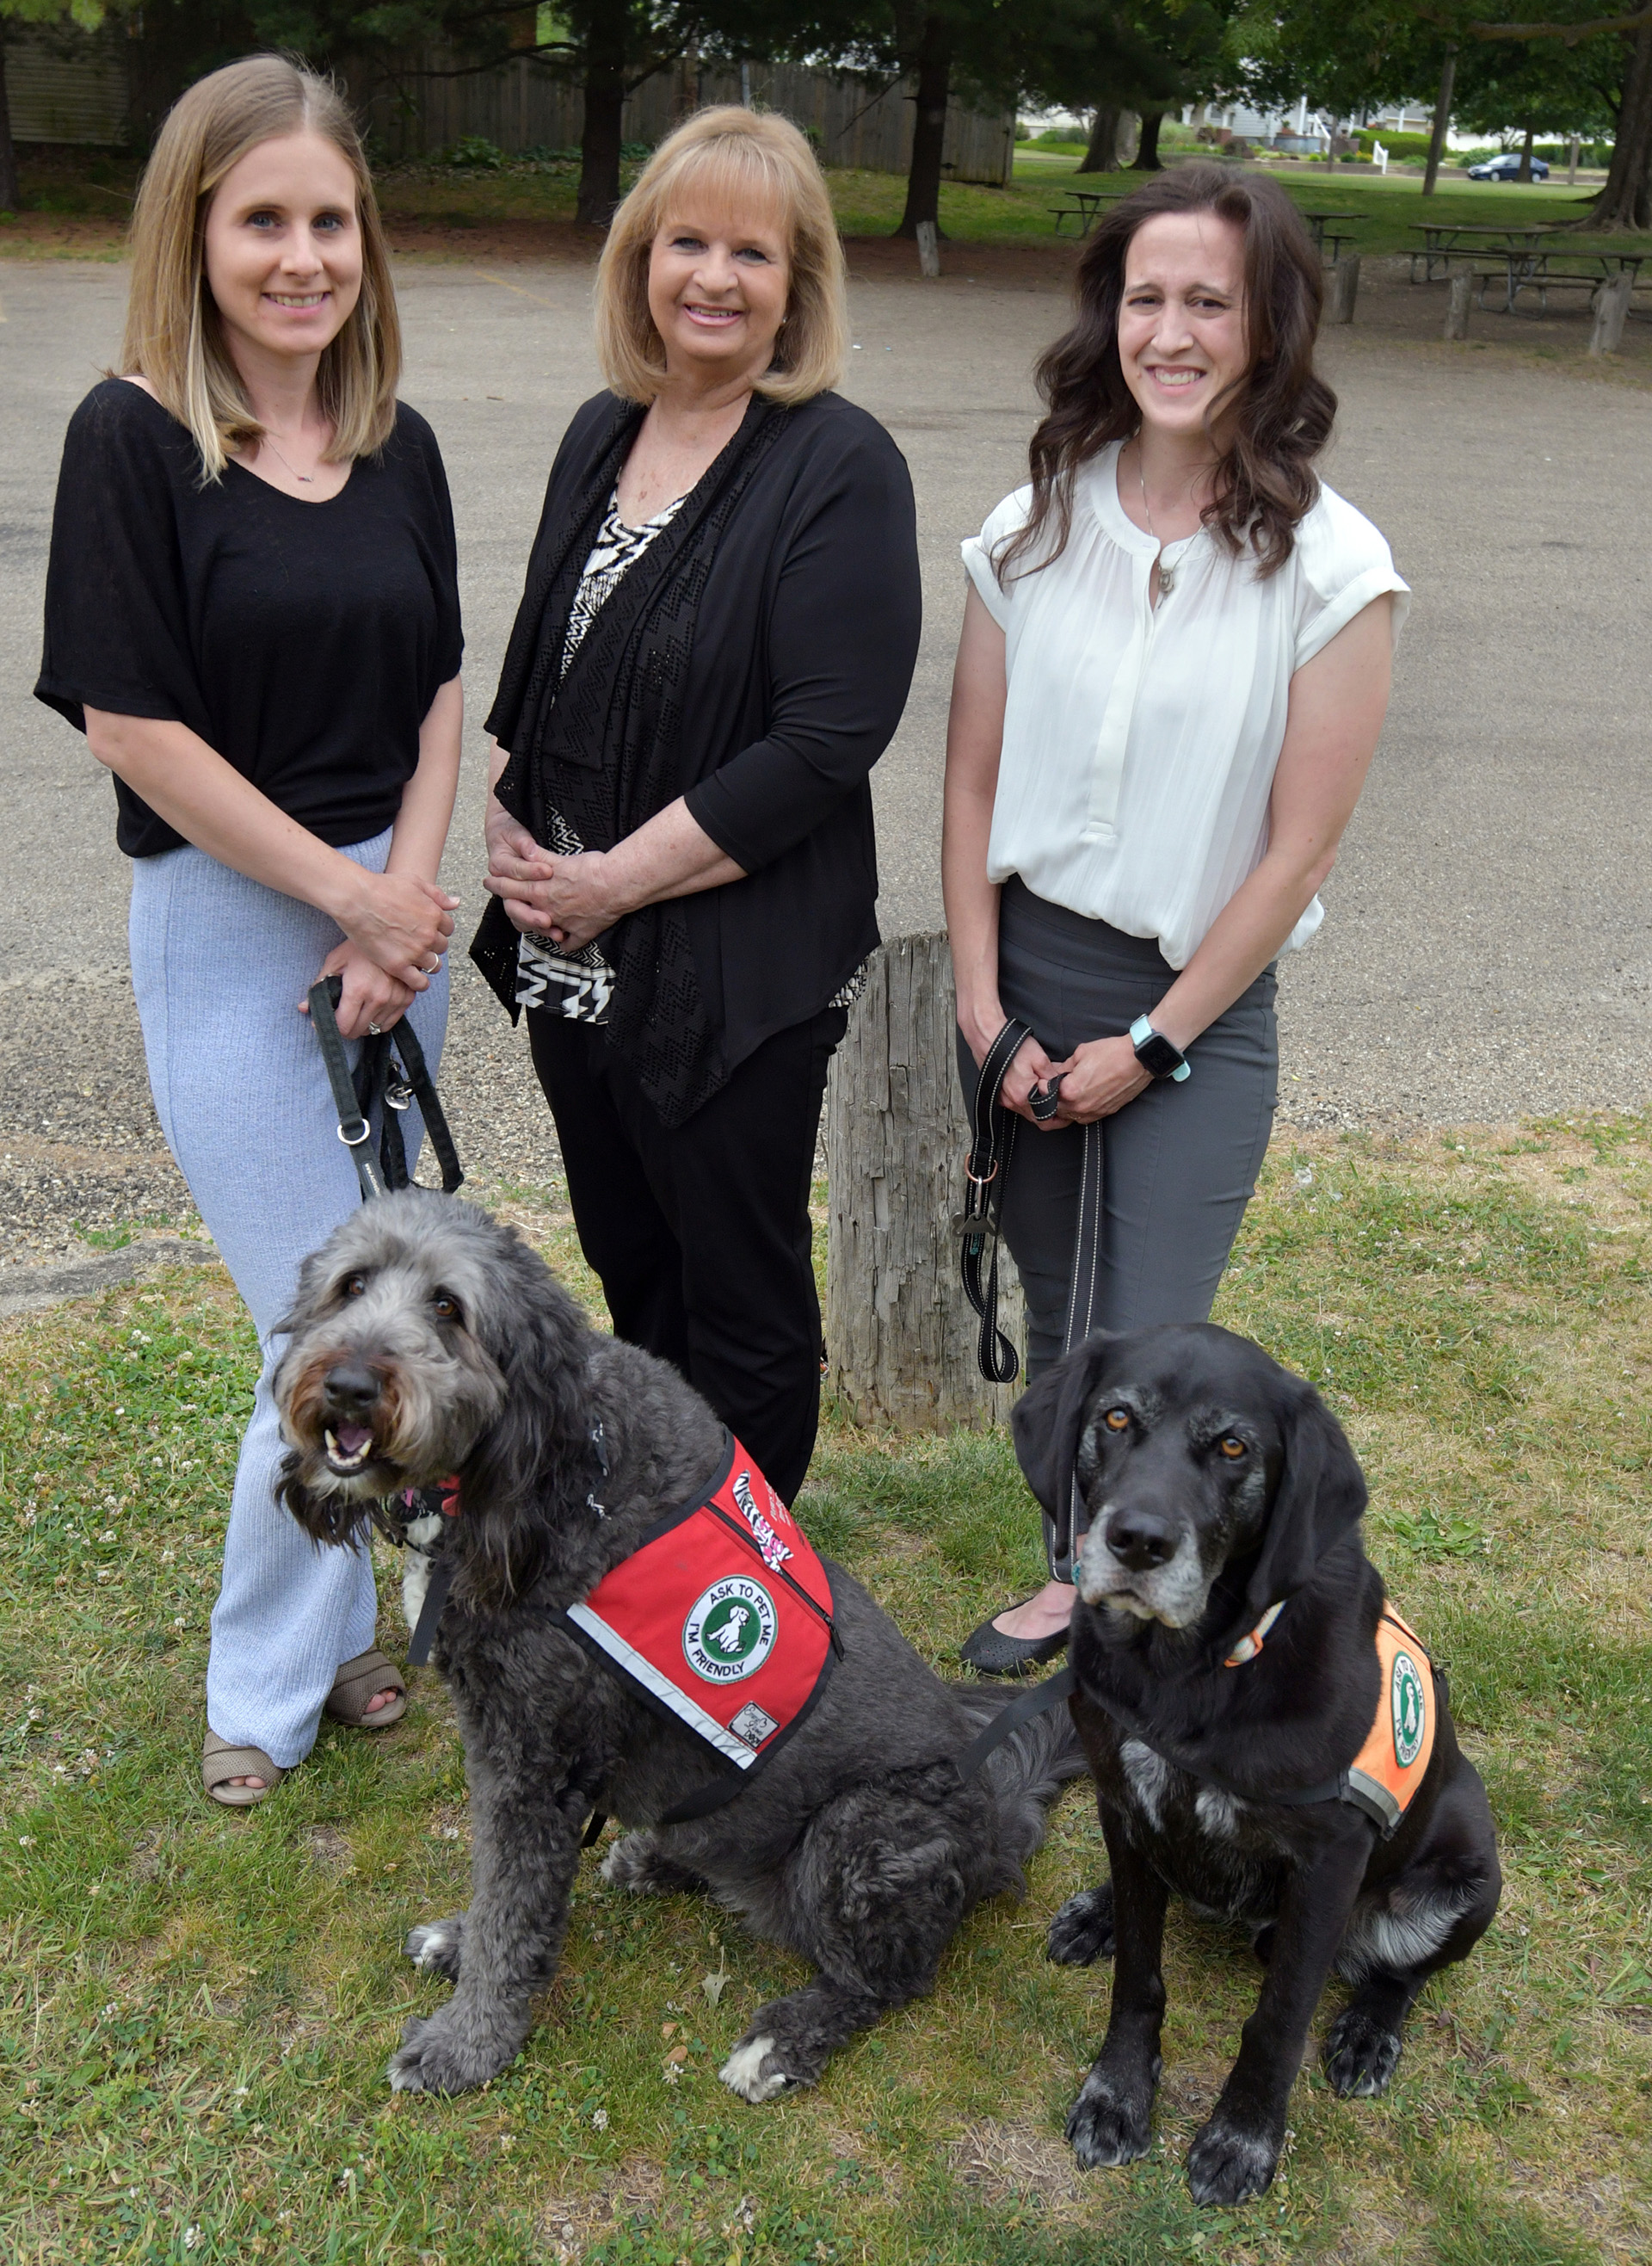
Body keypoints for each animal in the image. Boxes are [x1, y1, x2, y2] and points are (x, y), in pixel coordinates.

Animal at [270, 1196, 1082, 2093]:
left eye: (449, 1307)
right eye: (352, 1285)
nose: (347, 1386)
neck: (547, 1463)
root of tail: (999, 1826)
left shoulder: (533, 1755)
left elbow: (510, 1901)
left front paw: (469, 2040)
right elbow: (496, 1891)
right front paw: (460, 1945)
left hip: (860, 1831)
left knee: (888, 1979)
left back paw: (784, 2039)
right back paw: (658, 1861)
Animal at [1010, 1323, 1504, 2202]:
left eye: (1234, 1445)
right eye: (1116, 1419)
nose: (1138, 1542)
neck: (1187, 1672)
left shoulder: (1329, 1861)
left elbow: (1277, 2019)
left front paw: (1242, 2137)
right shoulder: (1122, 1795)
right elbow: (1138, 1976)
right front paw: (1120, 2092)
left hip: (1472, 1872)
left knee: (1403, 1972)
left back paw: (1368, 2031)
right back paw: (1098, 1909)